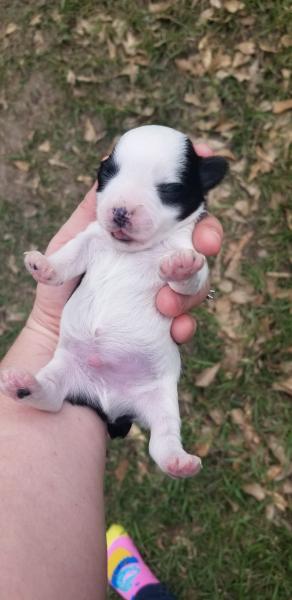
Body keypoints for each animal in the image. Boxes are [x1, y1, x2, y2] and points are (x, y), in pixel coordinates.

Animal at [0, 125, 227, 478]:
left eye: (169, 189)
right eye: (107, 172)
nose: (121, 211)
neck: (129, 250)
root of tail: (110, 403)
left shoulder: (190, 260)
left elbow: (190, 279)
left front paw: (180, 267)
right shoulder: (90, 238)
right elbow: (68, 258)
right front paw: (44, 266)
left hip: (161, 400)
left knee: (162, 440)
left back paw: (179, 462)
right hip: (63, 371)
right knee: (51, 398)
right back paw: (24, 386)